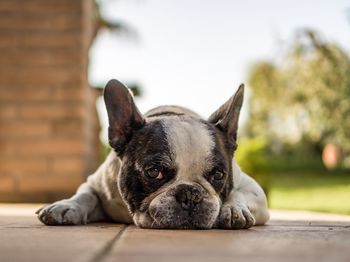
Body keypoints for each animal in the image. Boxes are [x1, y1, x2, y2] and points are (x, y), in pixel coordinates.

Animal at [35, 79, 270, 228]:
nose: (190, 194)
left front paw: (234, 209)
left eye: (219, 175)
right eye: (154, 172)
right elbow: (85, 195)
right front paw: (66, 206)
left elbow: (239, 193)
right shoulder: (95, 183)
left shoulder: (254, 189)